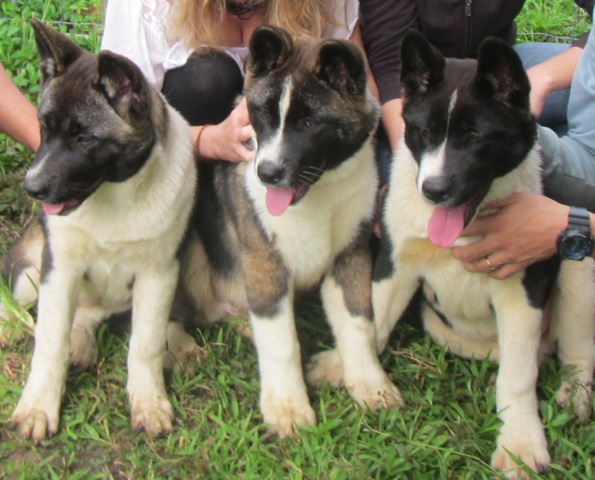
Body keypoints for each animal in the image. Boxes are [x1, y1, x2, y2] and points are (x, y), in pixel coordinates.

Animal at [2, 20, 198, 440]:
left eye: (85, 138)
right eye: (42, 127)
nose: (32, 188)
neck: (116, 193)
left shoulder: (159, 273)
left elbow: (146, 343)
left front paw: (148, 399)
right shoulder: (58, 270)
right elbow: (50, 341)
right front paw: (38, 406)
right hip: (31, 271)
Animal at [177, 26, 402, 438]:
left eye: (310, 123)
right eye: (262, 115)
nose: (267, 173)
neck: (319, 193)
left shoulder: (350, 256)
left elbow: (359, 323)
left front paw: (371, 386)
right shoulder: (265, 263)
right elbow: (281, 341)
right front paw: (287, 408)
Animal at [370, 31, 592, 478]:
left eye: (475, 139)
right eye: (424, 132)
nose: (433, 190)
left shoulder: (521, 290)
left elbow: (518, 376)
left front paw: (520, 444)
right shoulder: (397, 262)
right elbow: (375, 321)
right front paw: (351, 372)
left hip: (578, 265)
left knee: (573, 352)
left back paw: (575, 392)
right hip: (441, 326)